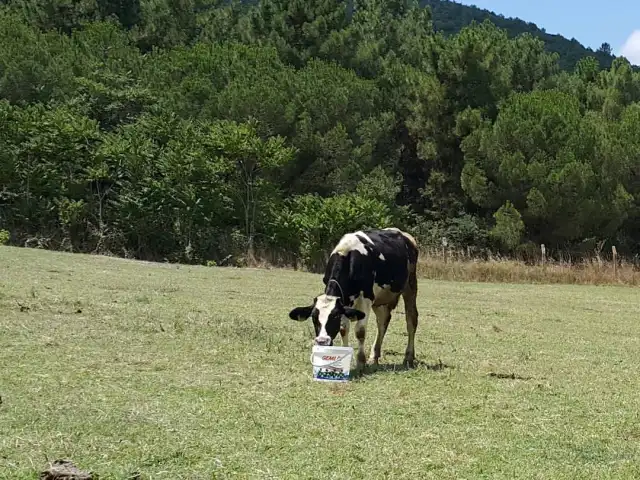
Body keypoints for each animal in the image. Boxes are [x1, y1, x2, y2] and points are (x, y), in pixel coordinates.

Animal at [288, 227, 420, 370]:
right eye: (313, 317)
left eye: (334, 316)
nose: (322, 341)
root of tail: (401, 233)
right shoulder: (344, 303)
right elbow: (343, 329)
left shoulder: (366, 298)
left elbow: (360, 331)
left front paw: (360, 362)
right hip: (380, 299)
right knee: (383, 321)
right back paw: (374, 357)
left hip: (410, 286)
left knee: (411, 320)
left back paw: (408, 357)